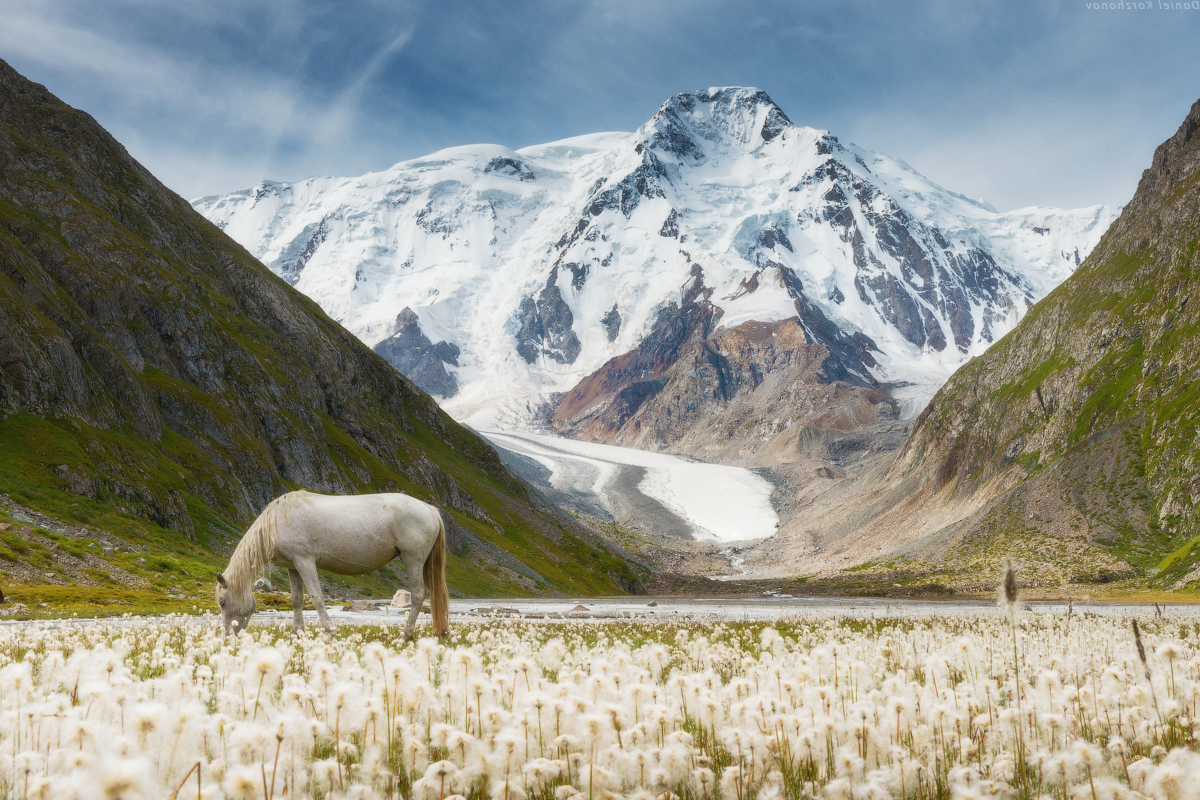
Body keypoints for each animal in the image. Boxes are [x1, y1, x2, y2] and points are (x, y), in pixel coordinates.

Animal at [216, 489, 451, 638]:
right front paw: (297, 634)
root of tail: (429, 510)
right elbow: (297, 601)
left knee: (418, 595)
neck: (277, 521)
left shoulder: (305, 561)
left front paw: (329, 631)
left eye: (222, 602)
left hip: (413, 559)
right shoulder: (293, 566)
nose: (228, 635)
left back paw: (406, 635)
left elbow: (317, 597)